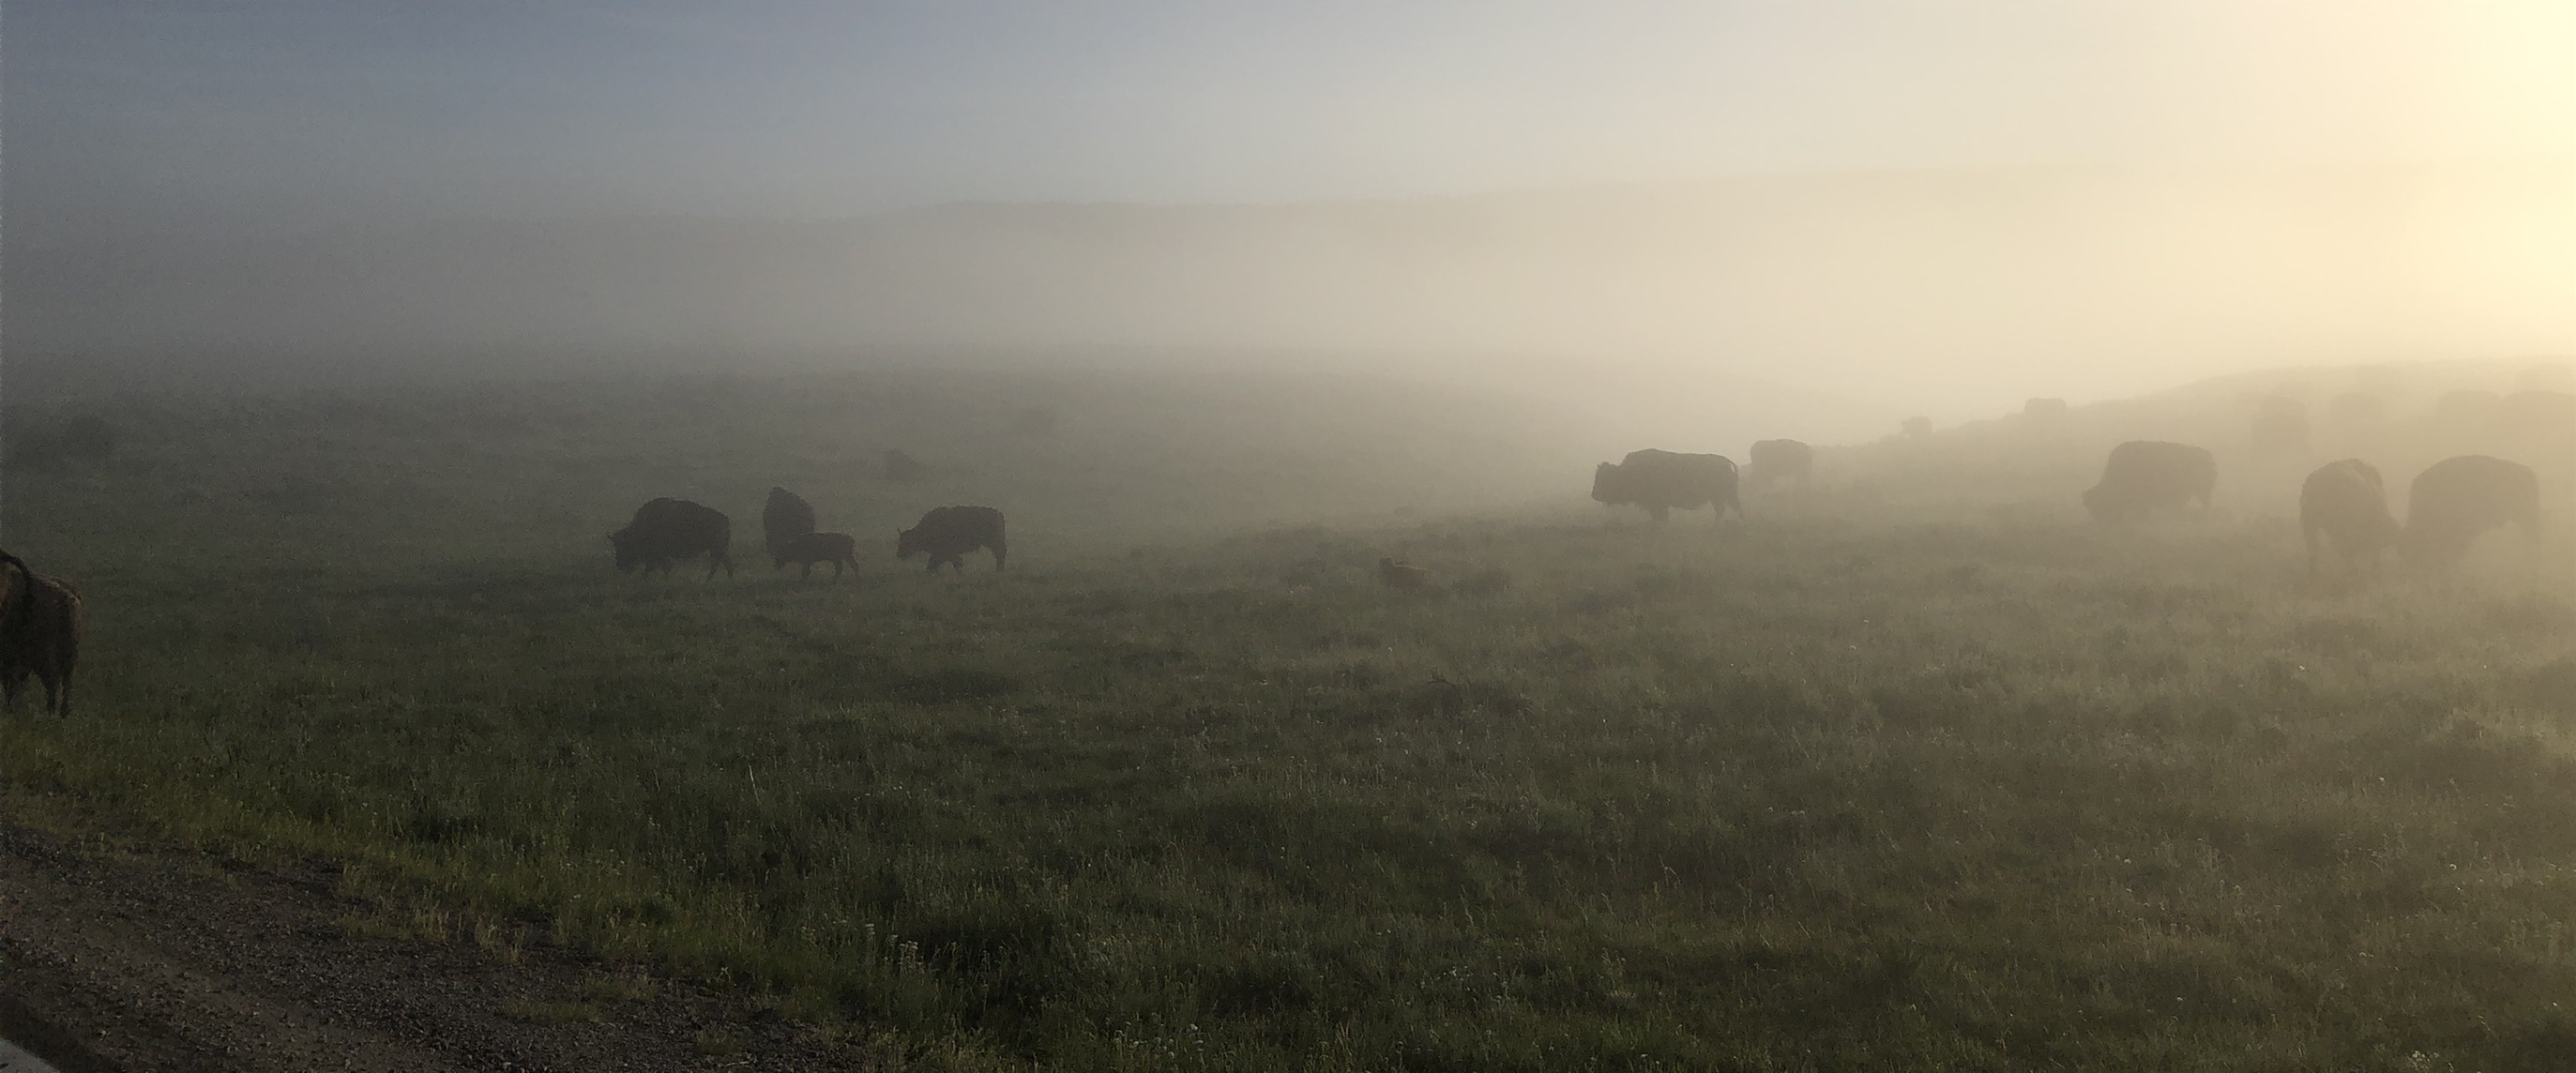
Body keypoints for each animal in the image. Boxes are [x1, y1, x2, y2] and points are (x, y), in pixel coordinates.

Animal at [0, 552, 82, 716]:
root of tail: (68, 599)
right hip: (67, 654)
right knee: (65, 683)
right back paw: (61, 714)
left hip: (44, 655)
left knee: (52, 682)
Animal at [609, 498, 735, 578]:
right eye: (615, 545)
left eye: (624, 546)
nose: (619, 565)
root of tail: (725, 519)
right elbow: (663, 567)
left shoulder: (657, 555)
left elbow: (655, 567)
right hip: (717, 549)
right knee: (722, 563)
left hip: (717, 548)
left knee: (720, 564)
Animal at [1592, 449, 1742, 525]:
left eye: (1607, 478)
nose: (1594, 495)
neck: (1629, 471)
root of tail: (1726, 461)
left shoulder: (1658, 504)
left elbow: (1660, 516)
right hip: (1718, 497)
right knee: (1723, 509)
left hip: (1722, 496)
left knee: (1728, 509)